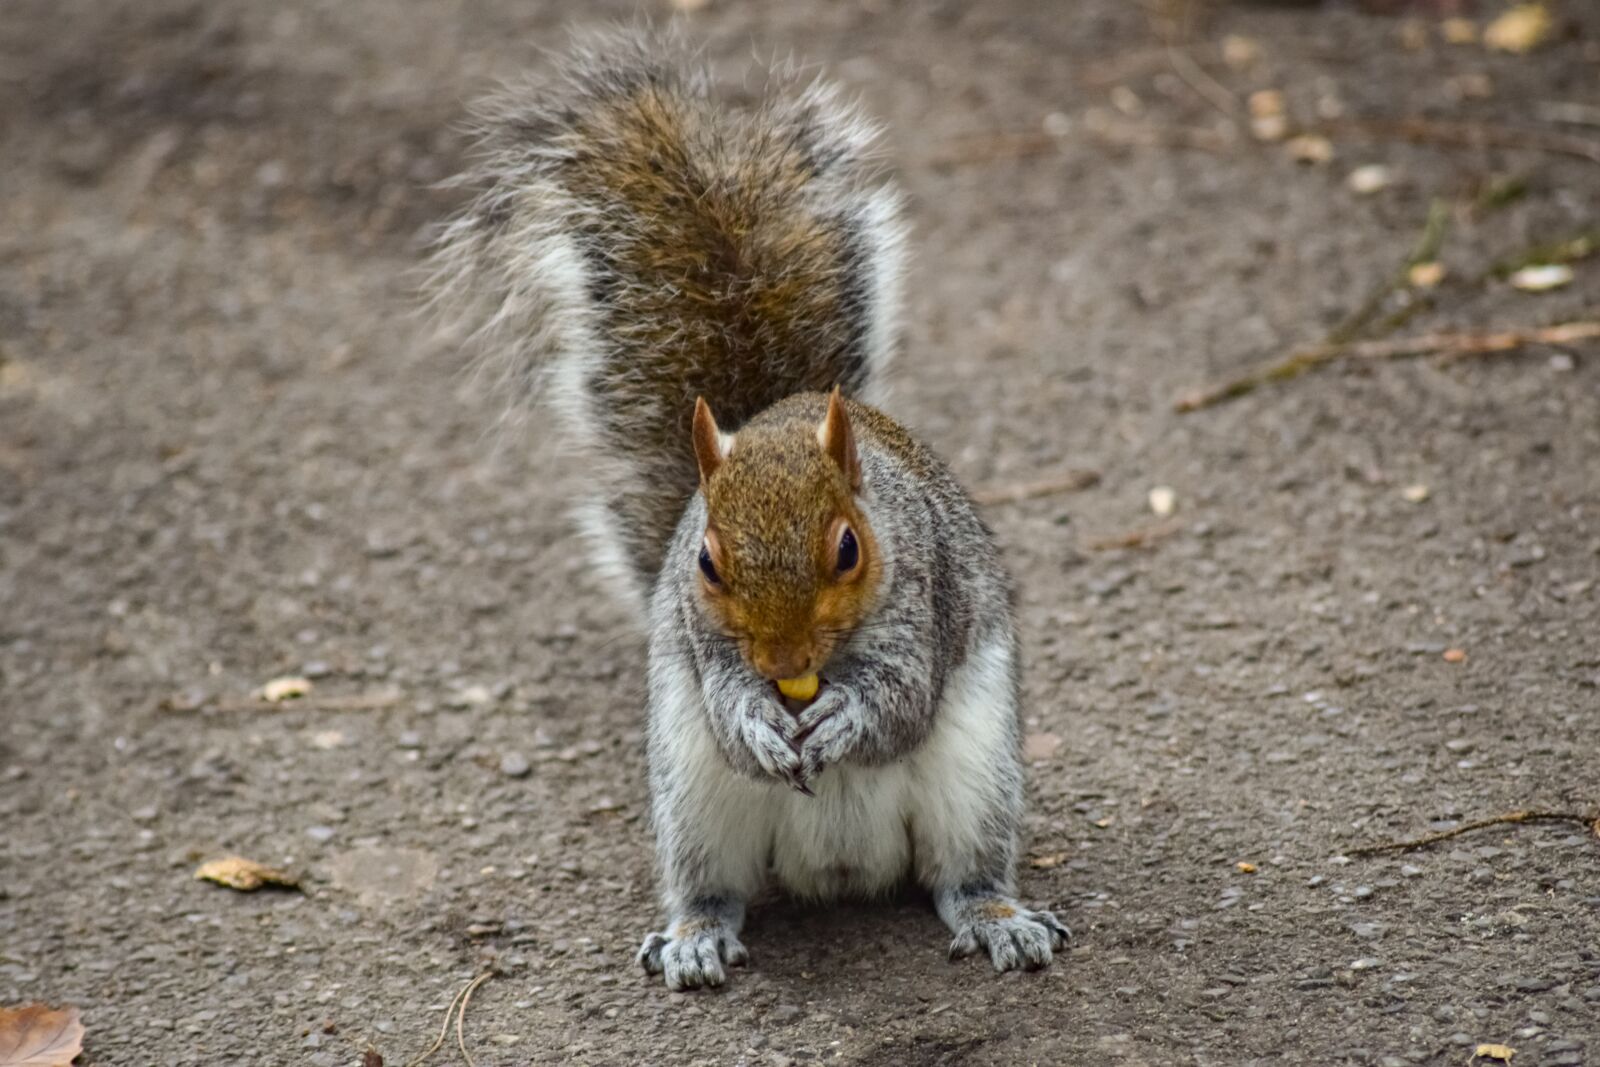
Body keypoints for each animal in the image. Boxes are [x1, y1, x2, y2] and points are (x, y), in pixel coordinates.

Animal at [430, 28, 1069, 989]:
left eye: (849, 549)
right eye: (704, 560)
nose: (785, 661)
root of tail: (839, 868)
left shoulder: (928, 593)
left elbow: (902, 696)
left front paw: (846, 714)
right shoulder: (700, 638)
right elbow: (728, 699)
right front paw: (757, 720)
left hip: (979, 777)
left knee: (962, 875)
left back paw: (1000, 918)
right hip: (694, 799)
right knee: (715, 883)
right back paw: (694, 934)